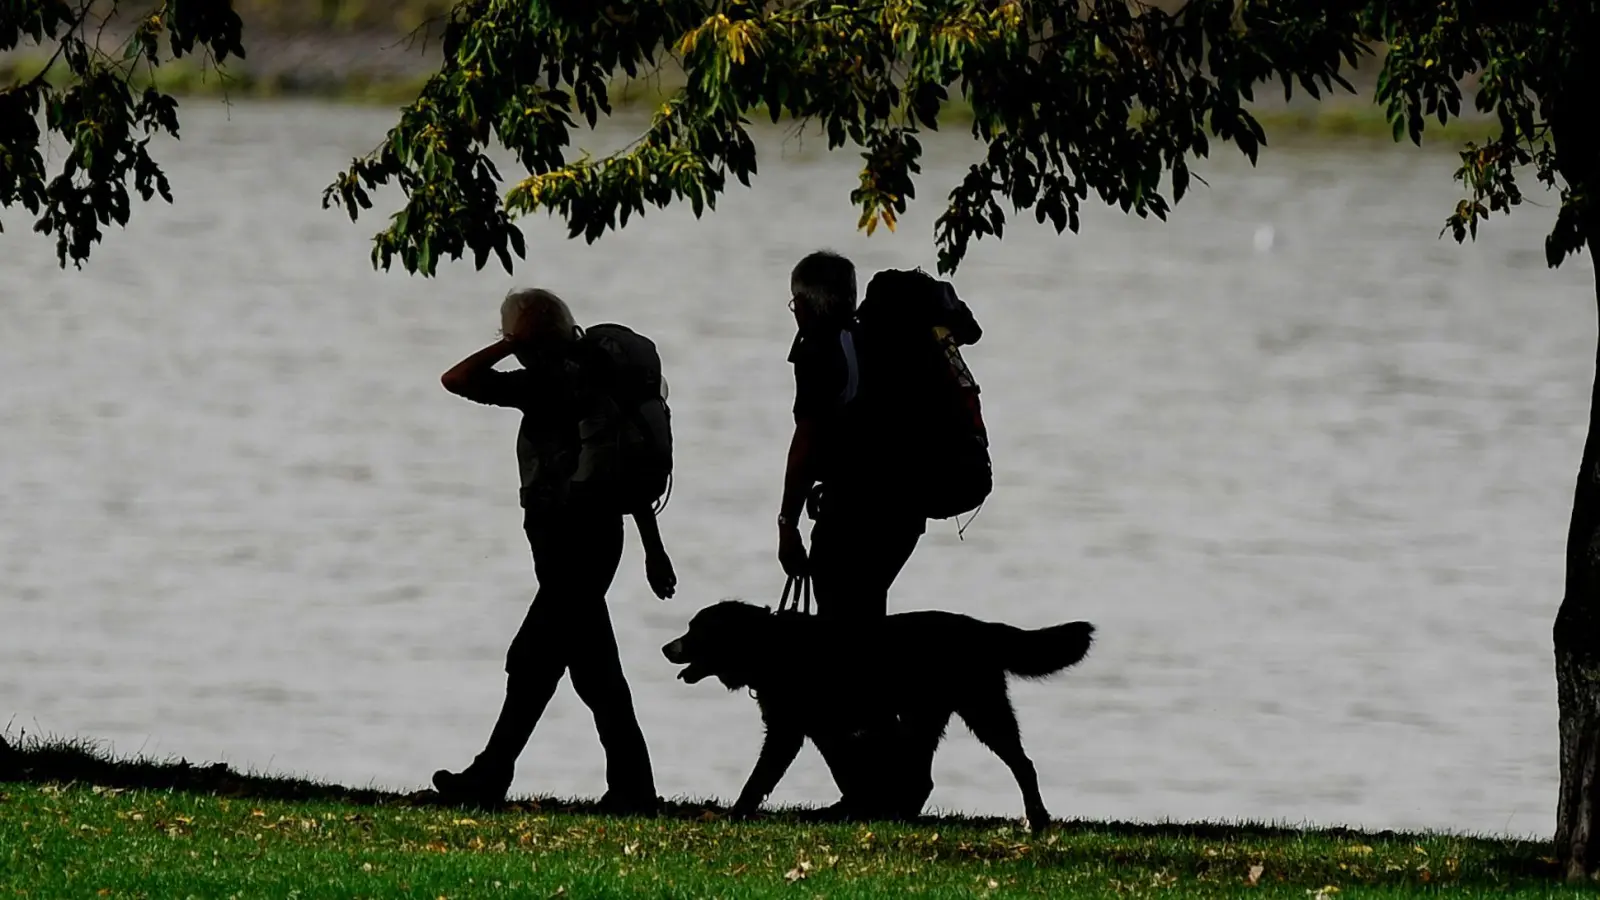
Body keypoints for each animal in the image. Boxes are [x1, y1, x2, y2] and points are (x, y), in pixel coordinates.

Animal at [656, 598, 1094, 832]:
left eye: (695, 630)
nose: (665, 648)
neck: (769, 645)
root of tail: (981, 627)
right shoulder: (821, 730)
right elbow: (844, 772)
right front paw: (849, 809)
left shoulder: (789, 732)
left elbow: (760, 777)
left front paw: (737, 812)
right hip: (925, 716)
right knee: (924, 777)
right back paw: (900, 814)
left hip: (978, 711)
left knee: (1022, 764)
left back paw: (1036, 817)